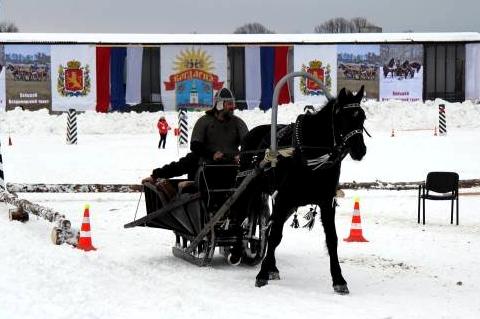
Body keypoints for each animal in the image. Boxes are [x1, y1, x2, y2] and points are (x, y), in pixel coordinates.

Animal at [239, 85, 368, 296]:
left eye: (362, 117)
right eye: (343, 117)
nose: (360, 150)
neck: (312, 153)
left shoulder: (326, 202)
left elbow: (332, 239)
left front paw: (339, 280)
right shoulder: (284, 198)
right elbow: (274, 236)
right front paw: (262, 274)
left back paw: (272, 266)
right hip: (252, 188)